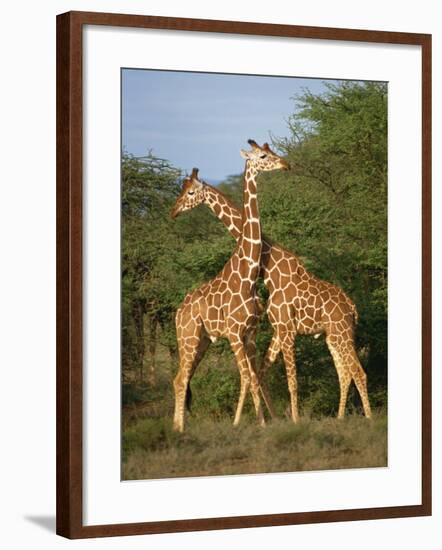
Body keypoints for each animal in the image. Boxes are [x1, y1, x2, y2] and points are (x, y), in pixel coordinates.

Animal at [170, 140, 290, 434]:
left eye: (271, 152)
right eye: (263, 156)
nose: (285, 164)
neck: (247, 276)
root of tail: (178, 312)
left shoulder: (250, 333)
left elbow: (252, 376)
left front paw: (267, 420)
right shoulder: (235, 334)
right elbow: (249, 376)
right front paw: (259, 422)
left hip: (202, 340)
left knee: (180, 377)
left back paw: (178, 426)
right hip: (188, 337)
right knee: (181, 379)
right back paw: (179, 428)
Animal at [171, 164, 372, 422]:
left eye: (190, 193)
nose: (174, 211)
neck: (269, 267)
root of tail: (353, 307)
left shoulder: (286, 330)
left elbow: (288, 380)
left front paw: (291, 420)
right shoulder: (278, 329)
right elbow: (262, 373)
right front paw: (275, 419)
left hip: (341, 332)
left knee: (358, 371)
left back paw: (369, 418)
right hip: (332, 336)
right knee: (344, 372)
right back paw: (339, 418)